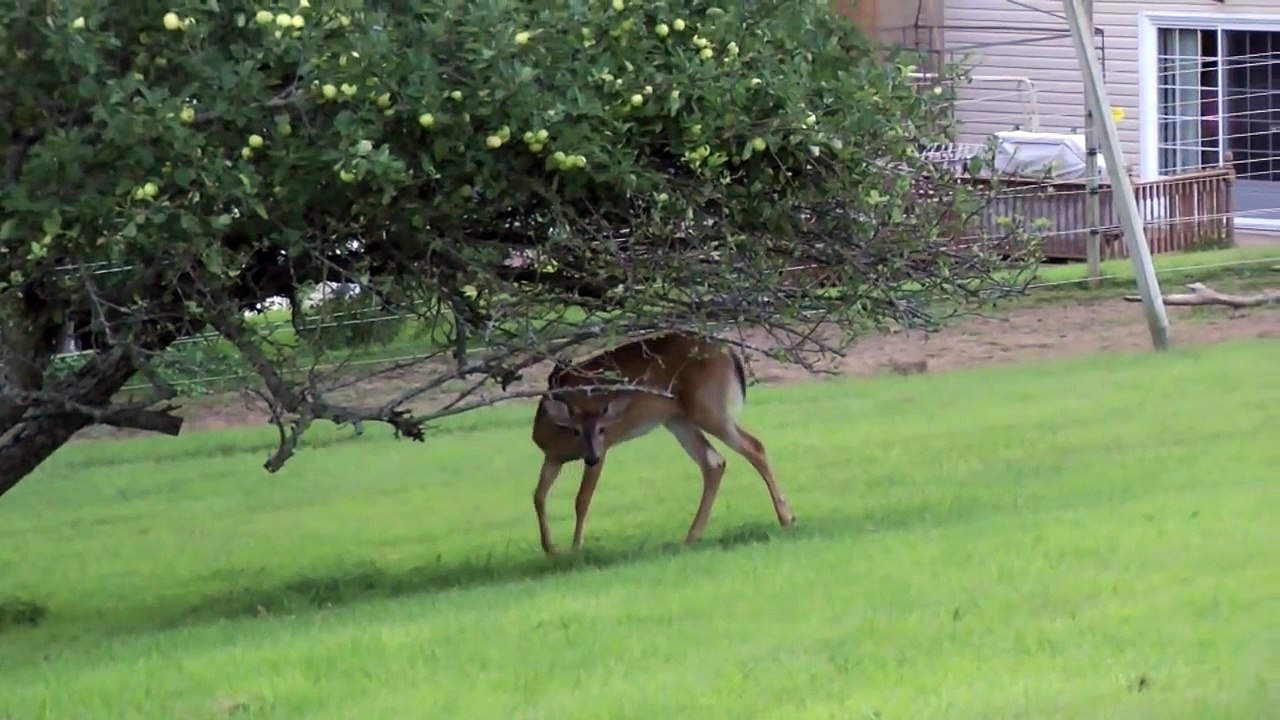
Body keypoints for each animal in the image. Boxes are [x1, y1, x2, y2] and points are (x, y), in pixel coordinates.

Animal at [530, 331, 796, 555]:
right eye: (575, 430)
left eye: (603, 429)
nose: (591, 456)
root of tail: (730, 352)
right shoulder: (551, 456)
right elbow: (538, 496)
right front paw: (550, 548)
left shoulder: (603, 449)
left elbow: (582, 499)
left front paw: (575, 547)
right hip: (677, 419)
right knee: (714, 462)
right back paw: (691, 537)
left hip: (709, 407)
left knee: (754, 446)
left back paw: (786, 518)